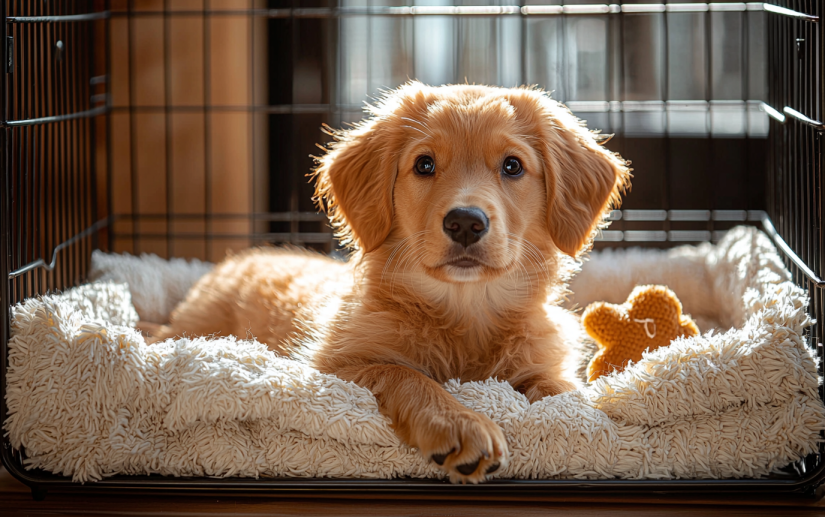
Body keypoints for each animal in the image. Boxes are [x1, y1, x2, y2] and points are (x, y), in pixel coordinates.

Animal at [156, 82, 632, 482]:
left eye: (513, 166)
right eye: (424, 164)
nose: (465, 222)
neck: (463, 309)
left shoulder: (542, 362)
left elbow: (562, 392)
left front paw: (581, 418)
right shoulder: (335, 367)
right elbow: (405, 374)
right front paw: (460, 423)